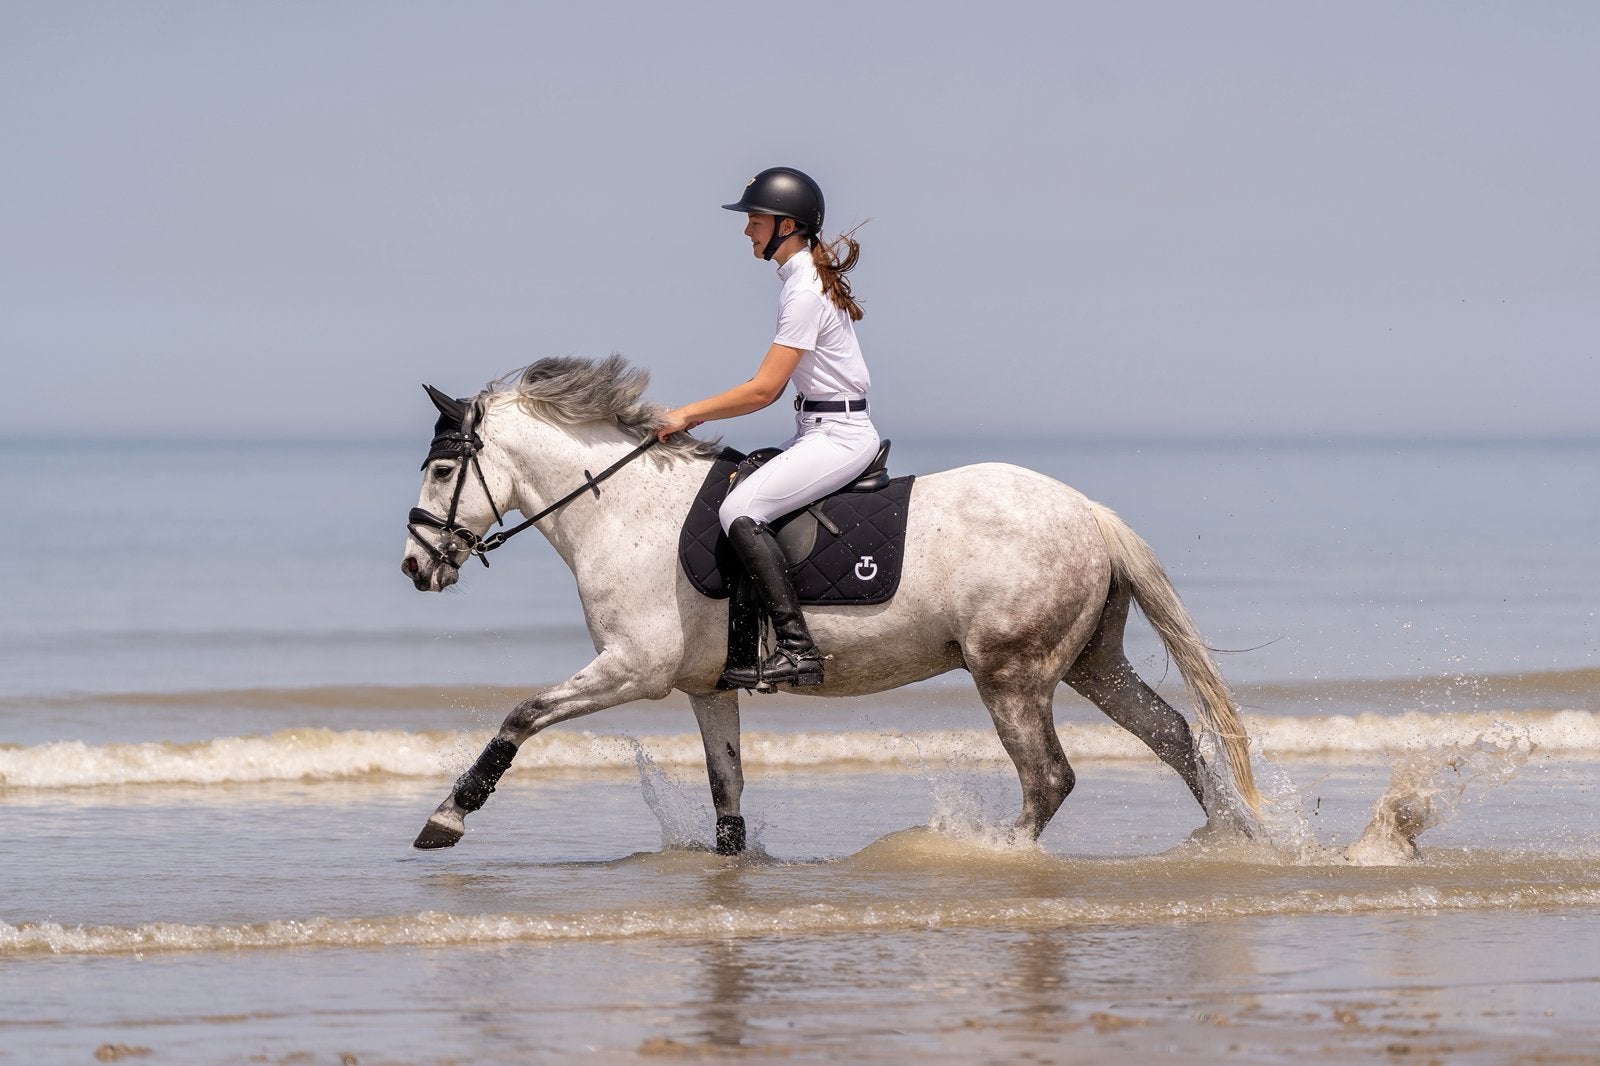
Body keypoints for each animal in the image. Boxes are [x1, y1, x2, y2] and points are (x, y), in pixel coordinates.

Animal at [400, 355, 1263, 854]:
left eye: (442, 470)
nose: (414, 567)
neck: (623, 510)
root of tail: (1088, 511)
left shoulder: (630, 669)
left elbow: (522, 716)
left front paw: (447, 817)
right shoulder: (705, 688)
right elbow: (727, 791)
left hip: (1011, 675)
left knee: (1050, 778)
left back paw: (997, 852)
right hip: (1090, 662)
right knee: (1174, 735)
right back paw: (1232, 839)